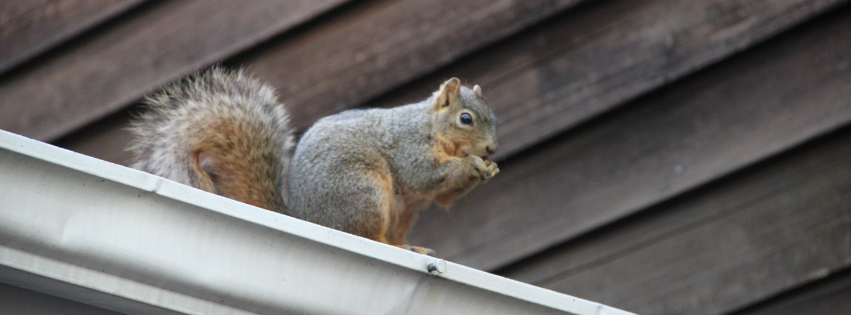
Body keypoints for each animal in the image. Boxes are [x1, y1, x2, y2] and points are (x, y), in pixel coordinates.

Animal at [127, 68, 500, 256]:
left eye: (493, 117)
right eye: (466, 119)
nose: (492, 149)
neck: (432, 127)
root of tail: (306, 217)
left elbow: (444, 197)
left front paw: (490, 170)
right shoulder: (408, 144)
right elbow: (425, 175)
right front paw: (473, 165)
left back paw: (412, 248)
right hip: (363, 190)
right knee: (365, 235)